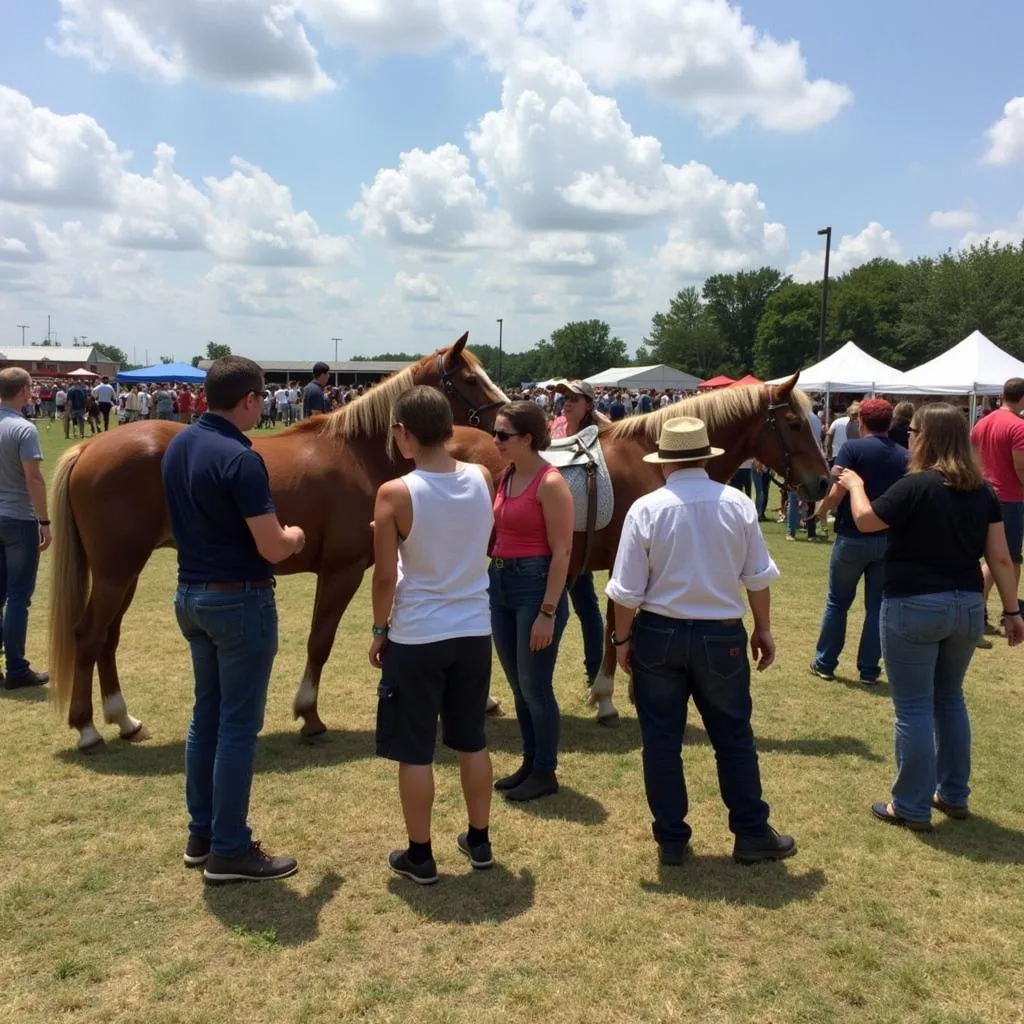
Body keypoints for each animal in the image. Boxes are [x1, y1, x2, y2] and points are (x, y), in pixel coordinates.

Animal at [49, 337, 505, 753]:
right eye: (470, 379)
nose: (503, 424)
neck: (358, 452)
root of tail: (89, 447)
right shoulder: (342, 570)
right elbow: (320, 641)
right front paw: (309, 714)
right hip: (115, 571)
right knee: (88, 635)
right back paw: (87, 729)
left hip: (125, 572)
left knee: (108, 637)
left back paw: (124, 721)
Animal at [450, 374, 831, 720]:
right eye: (795, 424)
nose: (824, 481)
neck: (653, 458)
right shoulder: (628, 558)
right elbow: (617, 622)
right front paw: (608, 696)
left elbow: (616, 622)